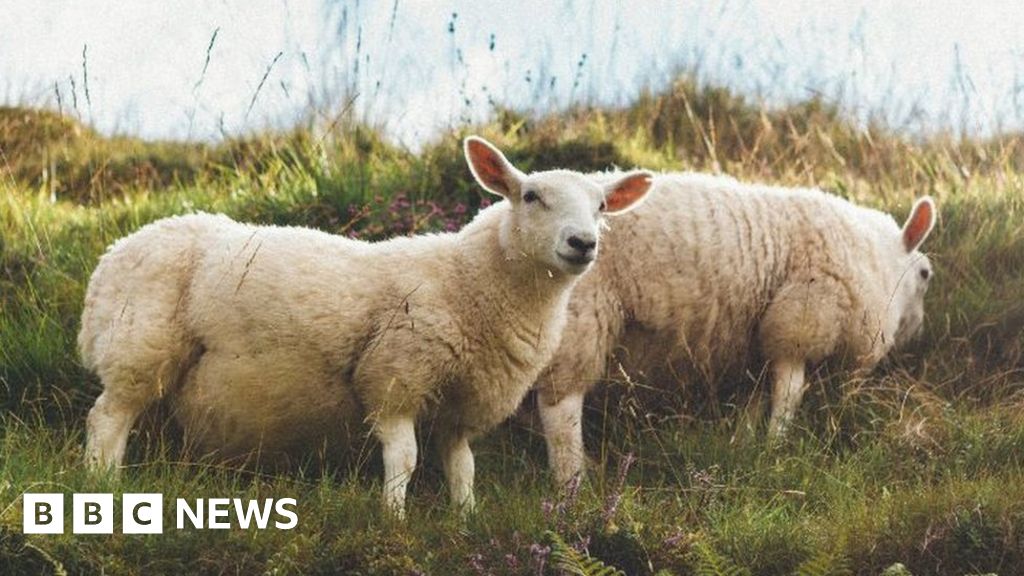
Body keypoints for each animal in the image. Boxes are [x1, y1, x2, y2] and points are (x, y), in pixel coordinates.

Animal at [78, 136, 652, 516]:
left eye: (603, 205)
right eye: (531, 196)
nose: (583, 243)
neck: (470, 281)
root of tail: (110, 258)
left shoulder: (462, 403)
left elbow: (462, 466)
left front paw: (465, 520)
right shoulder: (394, 376)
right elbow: (404, 459)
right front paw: (393, 519)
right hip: (140, 345)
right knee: (107, 418)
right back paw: (103, 485)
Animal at [535, 172, 937, 485]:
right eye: (925, 274)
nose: (919, 335)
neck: (878, 260)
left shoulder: (756, 344)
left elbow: (754, 401)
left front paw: (743, 444)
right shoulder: (800, 320)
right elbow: (789, 393)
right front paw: (776, 448)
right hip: (581, 316)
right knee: (560, 407)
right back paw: (572, 481)